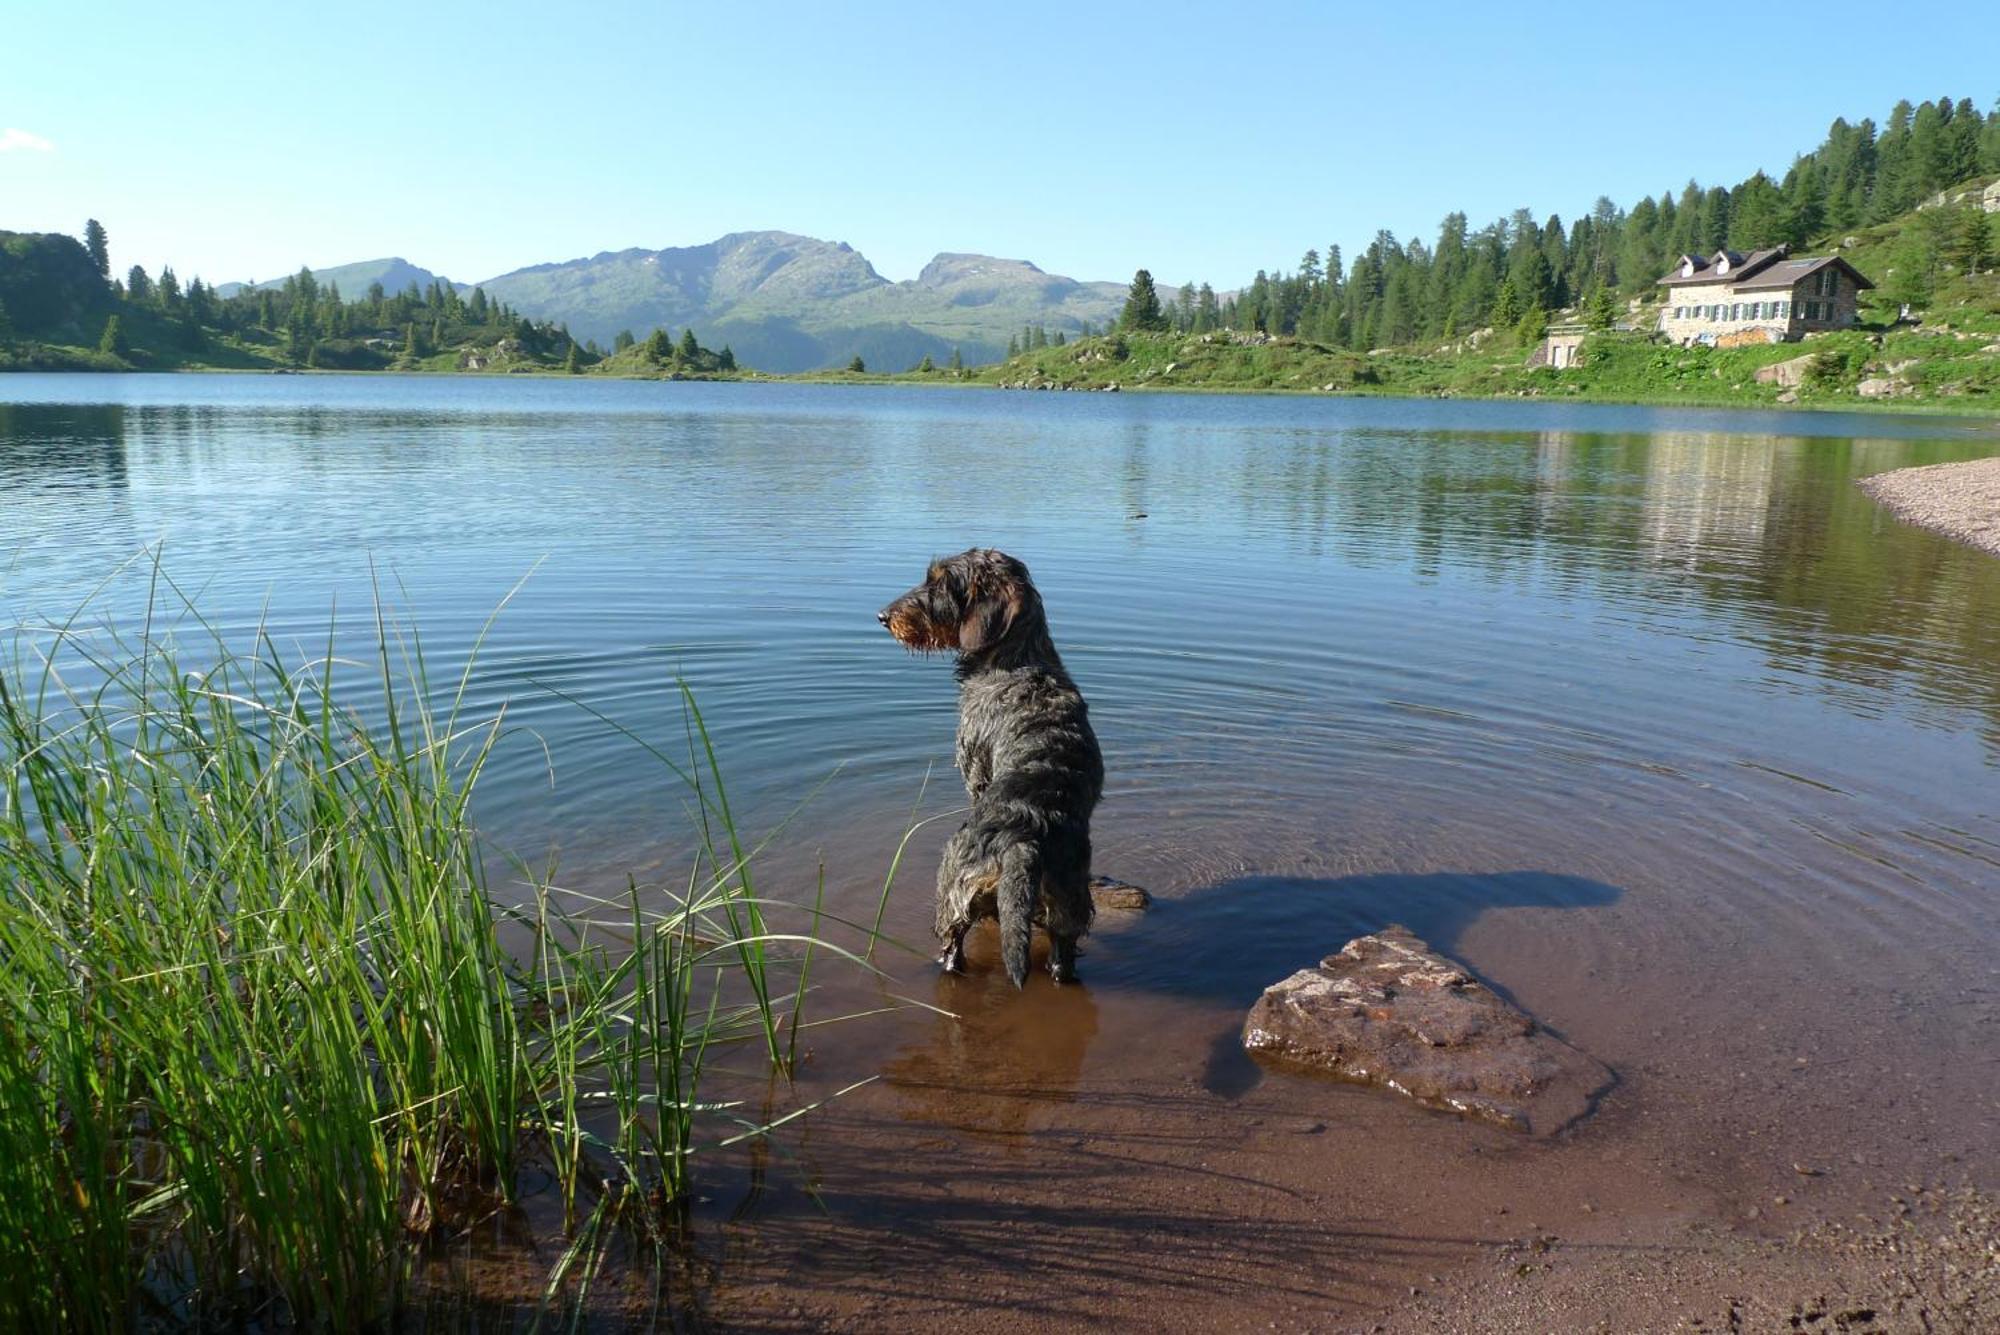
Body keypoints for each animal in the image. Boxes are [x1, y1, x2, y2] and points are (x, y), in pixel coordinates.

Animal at [880, 547, 1112, 987]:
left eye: (939, 582)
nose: (883, 616)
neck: (1018, 661)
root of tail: (1026, 834)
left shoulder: (973, 771)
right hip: (1069, 907)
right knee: (1062, 956)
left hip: (953, 893)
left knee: (953, 946)